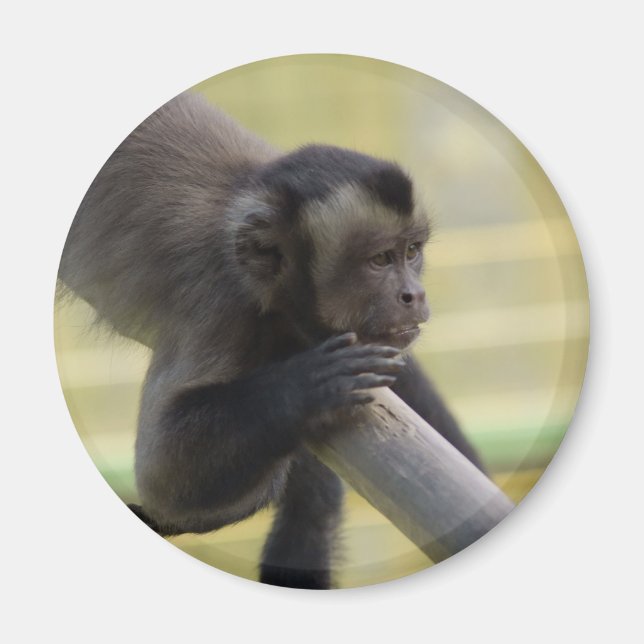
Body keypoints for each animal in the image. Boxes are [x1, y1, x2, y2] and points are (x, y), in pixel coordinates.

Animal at [57, 91, 484, 590]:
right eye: (380, 260)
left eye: (412, 252)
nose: (413, 294)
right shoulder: (225, 303)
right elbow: (163, 477)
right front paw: (309, 386)